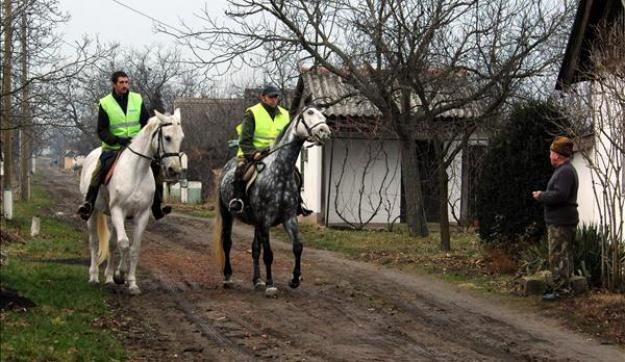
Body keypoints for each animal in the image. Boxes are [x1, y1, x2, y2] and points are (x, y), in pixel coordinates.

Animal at [79, 109, 184, 294]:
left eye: (182, 137)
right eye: (167, 137)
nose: (174, 170)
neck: (136, 171)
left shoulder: (141, 215)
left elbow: (134, 248)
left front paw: (131, 283)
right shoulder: (118, 211)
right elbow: (124, 243)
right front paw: (120, 275)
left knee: (111, 243)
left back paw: (108, 278)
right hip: (94, 213)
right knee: (94, 242)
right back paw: (94, 276)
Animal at [213, 106, 332, 296]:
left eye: (324, 117)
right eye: (309, 115)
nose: (325, 132)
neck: (280, 171)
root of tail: (226, 167)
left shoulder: (289, 218)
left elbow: (297, 246)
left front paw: (295, 279)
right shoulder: (265, 220)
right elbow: (268, 254)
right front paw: (270, 285)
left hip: (256, 223)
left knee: (255, 248)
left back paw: (257, 280)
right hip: (228, 215)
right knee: (227, 243)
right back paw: (228, 277)